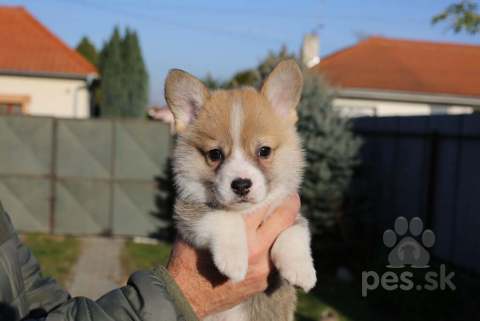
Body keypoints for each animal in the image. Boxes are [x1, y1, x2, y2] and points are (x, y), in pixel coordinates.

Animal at [164, 60, 316, 320]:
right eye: (215, 154)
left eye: (264, 151)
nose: (242, 184)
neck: (246, 211)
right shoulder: (187, 210)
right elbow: (223, 217)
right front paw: (234, 259)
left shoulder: (289, 210)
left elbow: (296, 229)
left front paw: (301, 270)